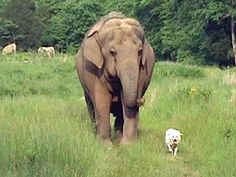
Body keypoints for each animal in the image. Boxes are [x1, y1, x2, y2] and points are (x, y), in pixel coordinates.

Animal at [75, 13, 156, 145]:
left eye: (139, 51)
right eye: (112, 52)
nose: (141, 99)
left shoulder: (143, 71)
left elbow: (128, 105)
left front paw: (128, 145)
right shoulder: (94, 71)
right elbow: (101, 101)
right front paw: (105, 145)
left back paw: (118, 137)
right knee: (91, 106)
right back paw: (96, 133)